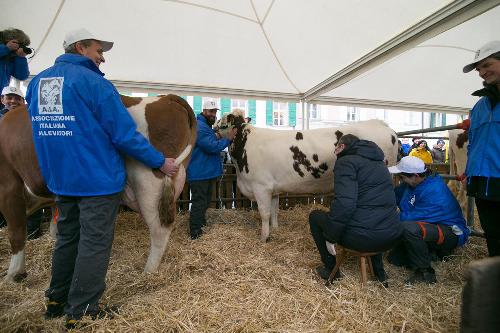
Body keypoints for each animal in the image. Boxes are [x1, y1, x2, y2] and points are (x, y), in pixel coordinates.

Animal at [0, 94, 196, 282]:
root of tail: (166, 97)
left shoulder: (9, 187)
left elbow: (16, 232)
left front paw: (13, 274)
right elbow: (56, 229)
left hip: (149, 185)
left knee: (159, 230)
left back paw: (148, 272)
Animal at [216, 110, 398, 240]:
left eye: (222, 123)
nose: (213, 128)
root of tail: (381, 124)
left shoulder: (261, 187)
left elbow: (265, 213)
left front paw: (264, 237)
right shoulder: (273, 189)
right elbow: (275, 210)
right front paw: (275, 229)